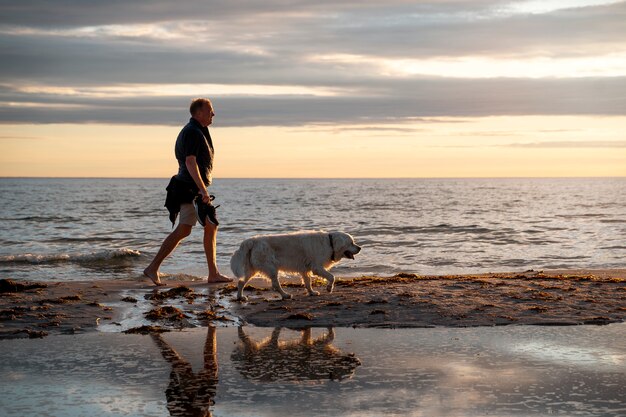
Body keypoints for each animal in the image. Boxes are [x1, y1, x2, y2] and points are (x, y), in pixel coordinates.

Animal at [229, 231, 358, 300]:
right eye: (351, 243)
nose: (360, 248)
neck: (329, 243)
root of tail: (252, 241)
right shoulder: (316, 267)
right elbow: (332, 277)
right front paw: (329, 288)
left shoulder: (305, 269)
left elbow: (308, 282)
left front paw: (312, 292)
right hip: (271, 267)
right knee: (275, 284)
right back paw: (285, 295)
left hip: (253, 269)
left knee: (241, 281)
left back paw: (240, 297)